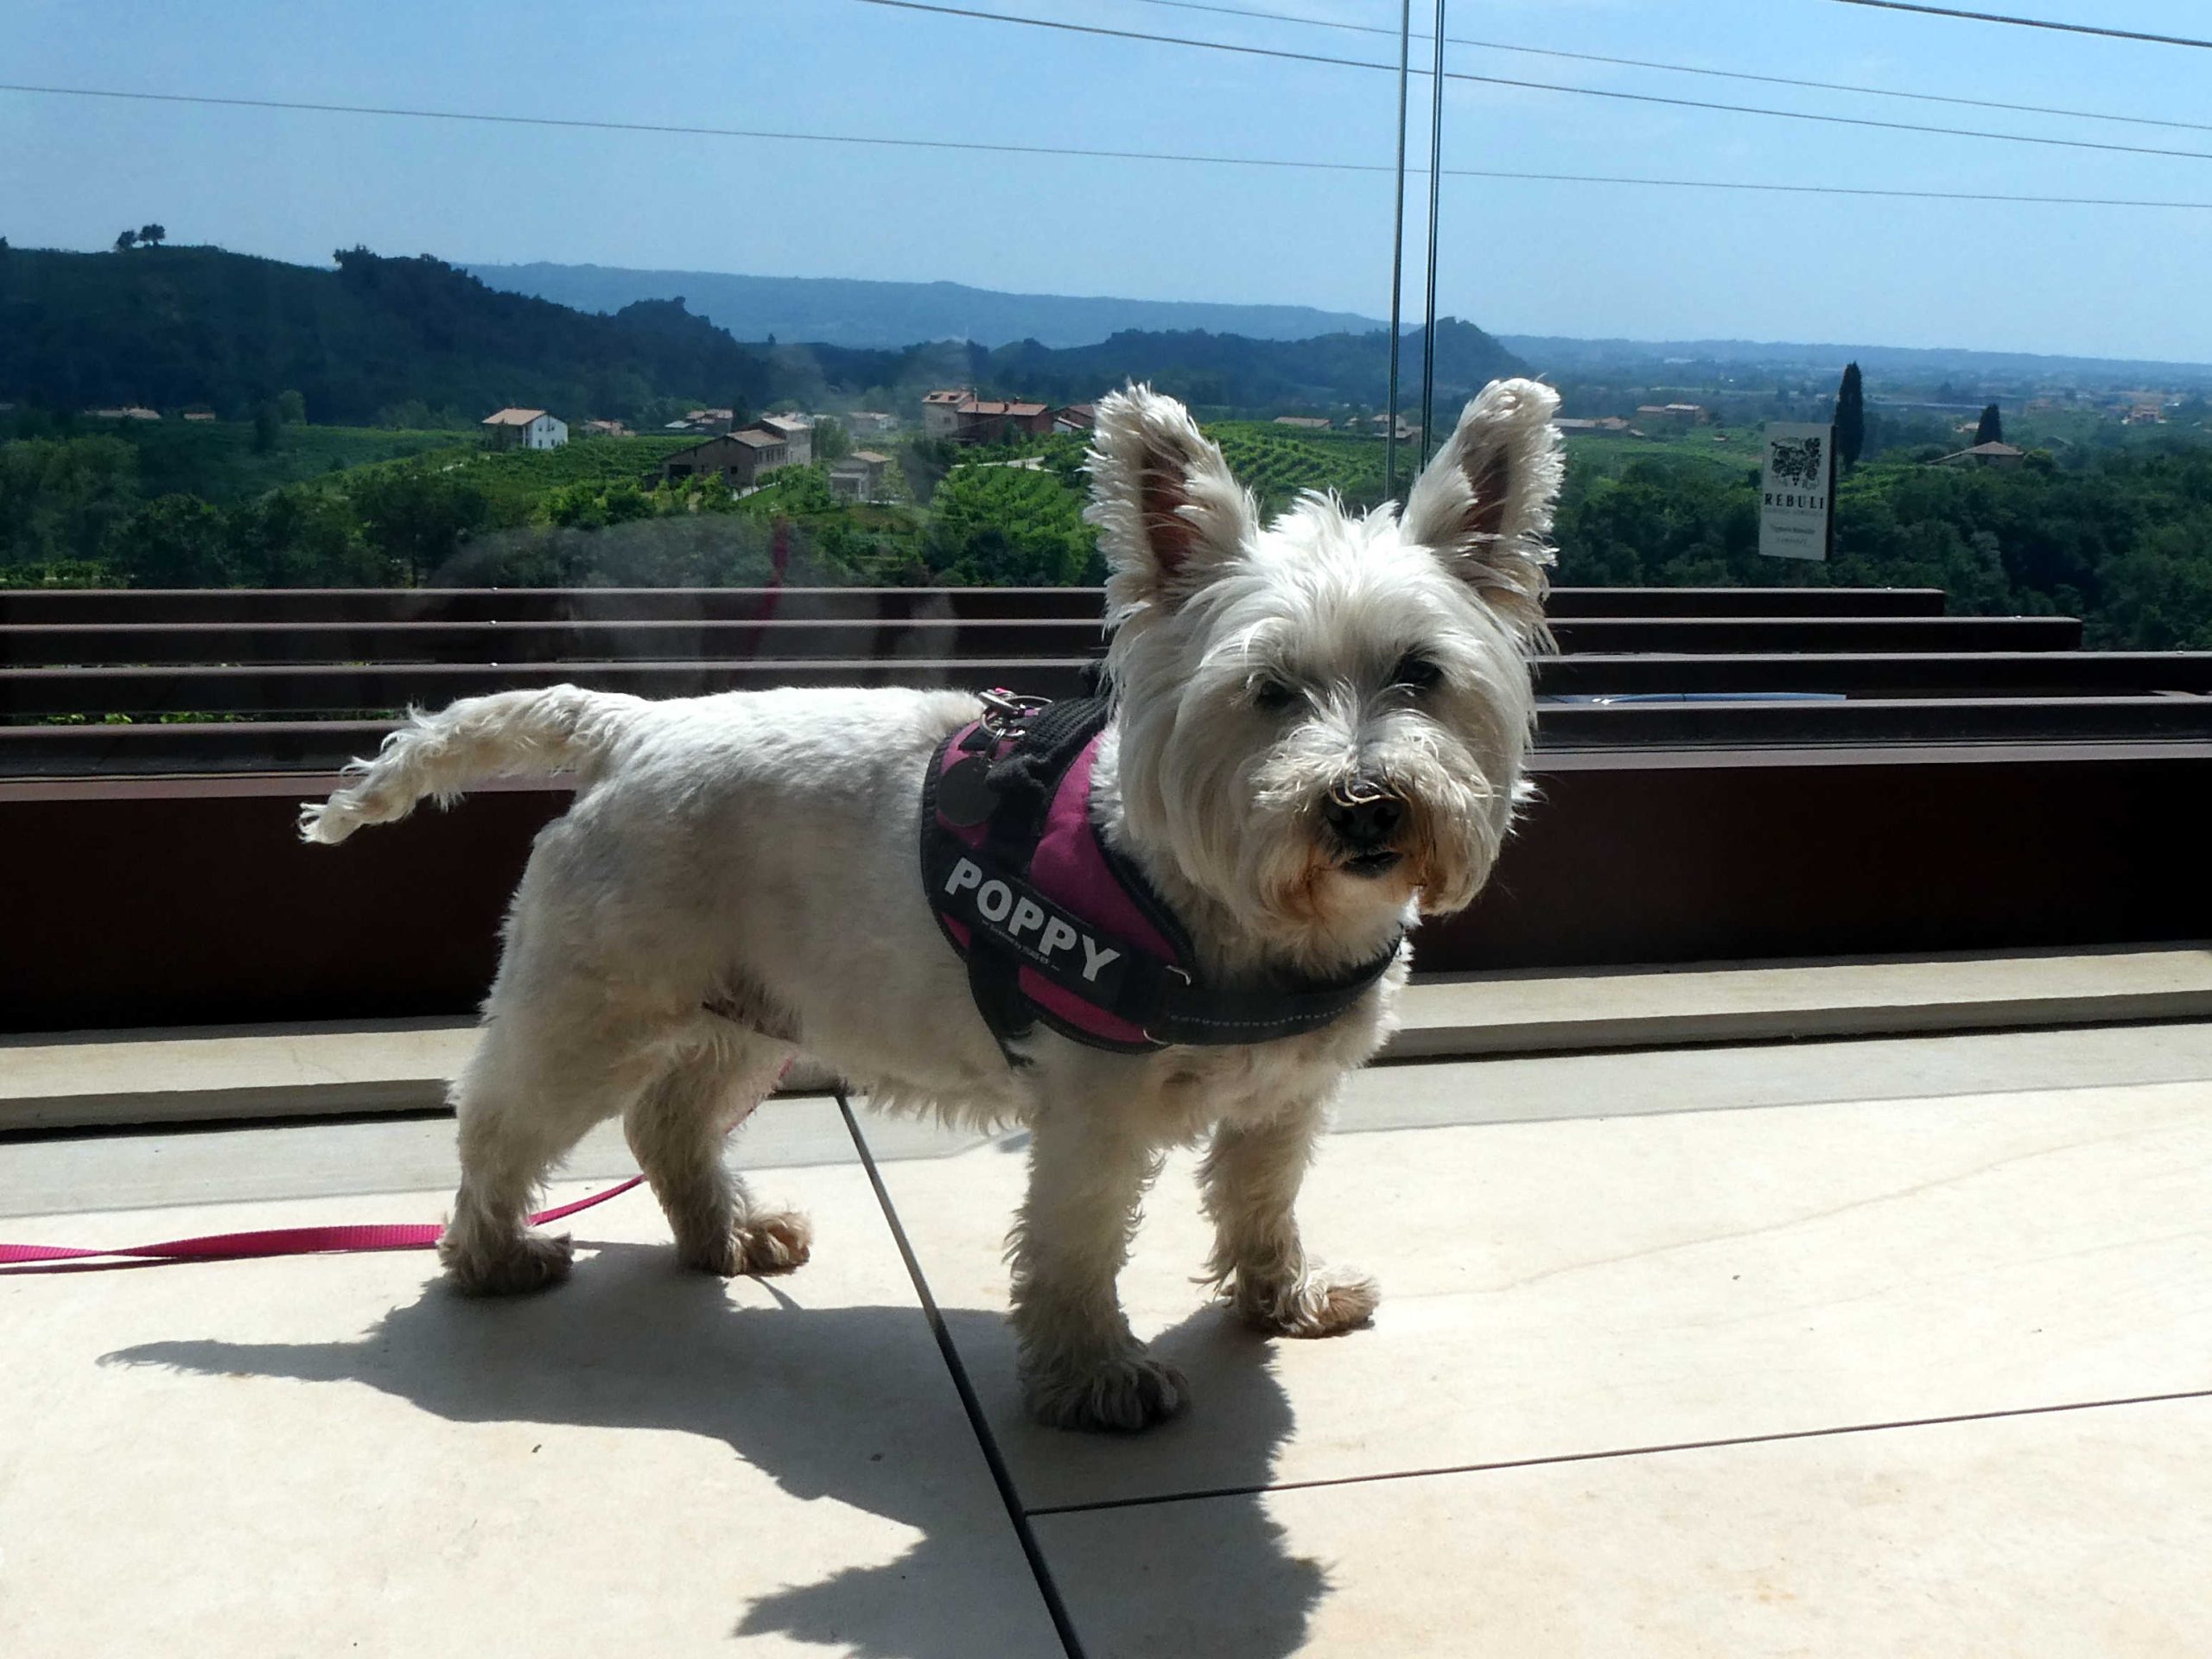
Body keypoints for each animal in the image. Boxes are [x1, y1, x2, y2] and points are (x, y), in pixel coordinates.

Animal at [302, 376, 1566, 1433]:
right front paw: (1095, 1378)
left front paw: (1283, 1300)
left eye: (1420, 674)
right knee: (502, 1119)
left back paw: (728, 1234)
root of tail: (632, 727)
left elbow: (1262, 1200)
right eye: (1267, 691)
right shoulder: (1095, 1111)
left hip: (745, 1006)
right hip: (595, 1001)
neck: (1233, 914)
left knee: (669, 1121)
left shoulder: (1285, 1100)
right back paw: (493, 1256)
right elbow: (1076, 1242)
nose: (1363, 807)